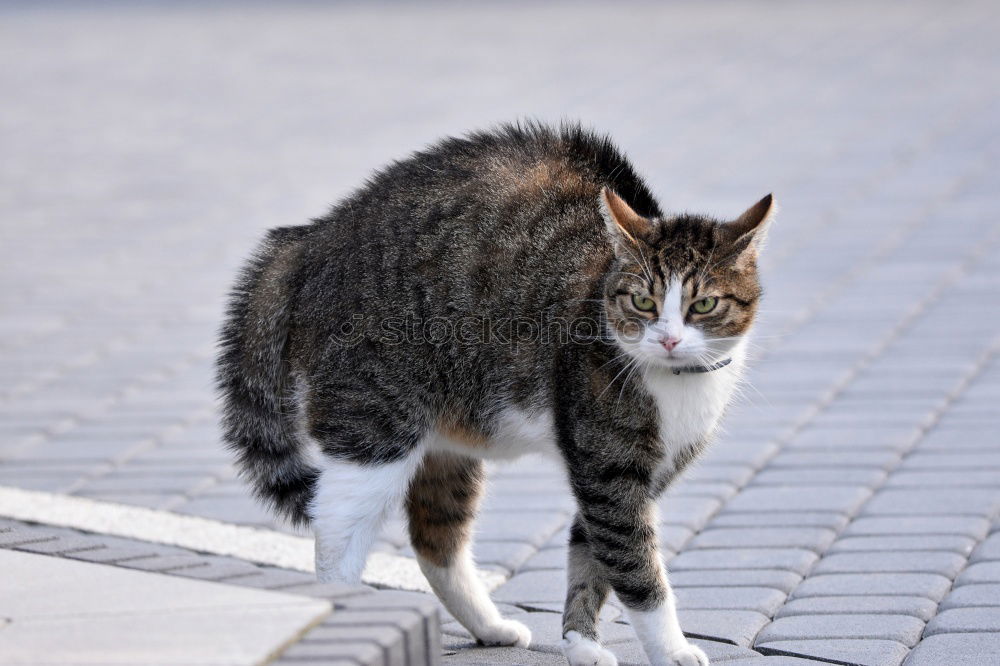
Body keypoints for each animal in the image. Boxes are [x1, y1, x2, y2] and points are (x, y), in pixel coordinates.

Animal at [217, 122, 772, 660]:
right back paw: (350, 609)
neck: (676, 383)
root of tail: (316, 233)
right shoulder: (608, 471)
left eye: (703, 305)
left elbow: (590, 557)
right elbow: (637, 572)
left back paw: (487, 625)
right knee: (336, 530)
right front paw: (671, 648)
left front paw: (580, 642)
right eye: (642, 301)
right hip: (375, 425)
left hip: (446, 443)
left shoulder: (632, 475)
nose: (669, 338)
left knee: (435, 539)